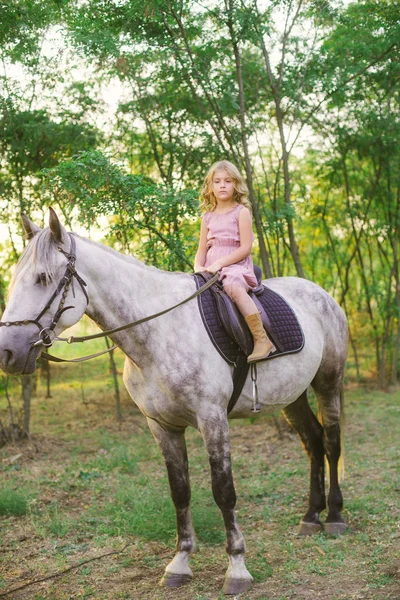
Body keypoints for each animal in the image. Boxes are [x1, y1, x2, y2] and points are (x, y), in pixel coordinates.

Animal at [0, 209, 348, 592]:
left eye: (44, 278)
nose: (7, 352)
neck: (158, 334)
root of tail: (321, 293)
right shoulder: (162, 426)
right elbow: (180, 491)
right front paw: (180, 563)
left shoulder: (213, 419)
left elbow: (224, 491)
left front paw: (237, 568)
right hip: (292, 396)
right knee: (313, 442)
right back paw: (311, 516)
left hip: (328, 383)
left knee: (331, 442)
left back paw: (334, 515)